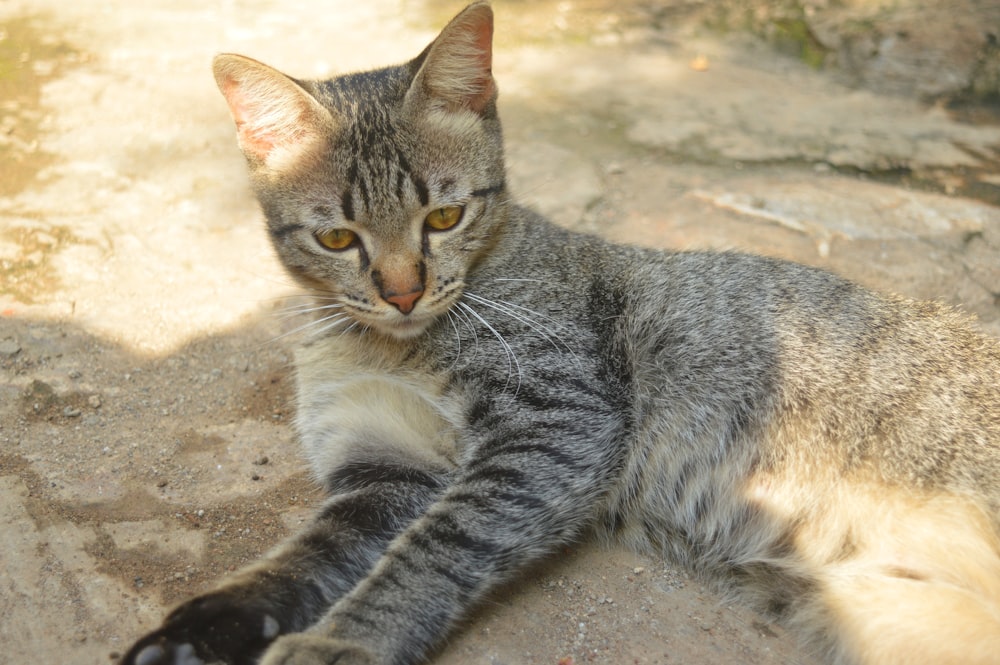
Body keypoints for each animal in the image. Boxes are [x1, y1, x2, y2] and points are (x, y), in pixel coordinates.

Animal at [119, 1, 1000, 664]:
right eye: (338, 237)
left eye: (445, 217)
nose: (402, 292)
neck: (388, 345)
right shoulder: (383, 469)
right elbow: (294, 560)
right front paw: (198, 628)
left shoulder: (554, 423)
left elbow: (432, 549)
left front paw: (346, 642)